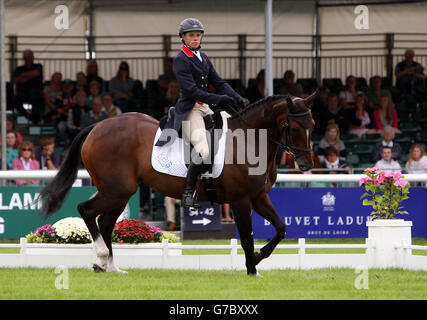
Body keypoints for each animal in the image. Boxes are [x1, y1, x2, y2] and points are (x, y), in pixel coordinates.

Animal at [37, 90, 318, 276]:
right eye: (293, 127)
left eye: (313, 125)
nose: (306, 165)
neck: (249, 140)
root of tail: (96, 127)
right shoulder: (241, 201)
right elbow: (247, 237)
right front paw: (252, 269)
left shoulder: (259, 197)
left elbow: (281, 229)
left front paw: (259, 259)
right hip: (116, 190)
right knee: (86, 210)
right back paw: (103, 257)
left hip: (119, 193)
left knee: (105, 223)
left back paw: (111, 267)